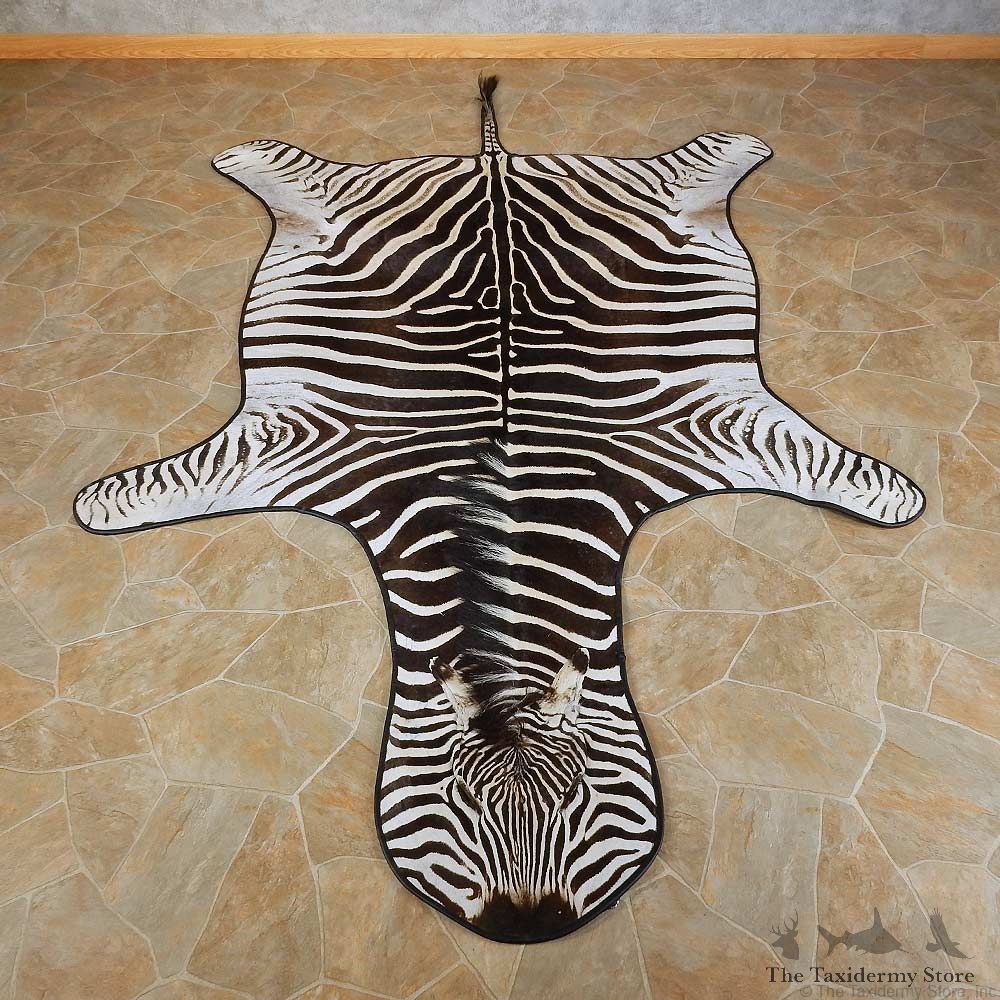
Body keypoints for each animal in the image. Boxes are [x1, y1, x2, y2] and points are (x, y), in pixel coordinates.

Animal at [73, 76, 925, 942]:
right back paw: (242, 158)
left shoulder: (706, 424)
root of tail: (494, 159)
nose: (528, 928)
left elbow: (832, 467)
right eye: (457, 805)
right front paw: (97, 502)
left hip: (666, 201)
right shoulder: (295, 439)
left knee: (699, 164)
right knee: (291, 171)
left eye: (579, 800)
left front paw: (899, 495)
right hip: (329, 207)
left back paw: (742, 149)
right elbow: (162, 484)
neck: (505, 508)